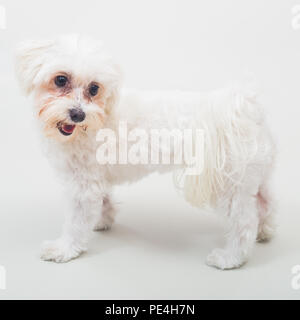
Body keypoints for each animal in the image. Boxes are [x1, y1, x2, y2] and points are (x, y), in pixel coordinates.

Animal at [15, 34, 276, 270]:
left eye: (94, 88)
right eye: (60, 80)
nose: (78, 114)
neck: (100, 117)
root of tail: (242, 106)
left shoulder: (83, 185)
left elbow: (76, 223)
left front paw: (64, 249)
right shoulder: (99, 177)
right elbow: (105, 200)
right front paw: (103, 220)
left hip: (229, 186)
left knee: (244, 223)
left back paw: (230, 258)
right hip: (255, 177)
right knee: (264, 204)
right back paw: (264, 231)